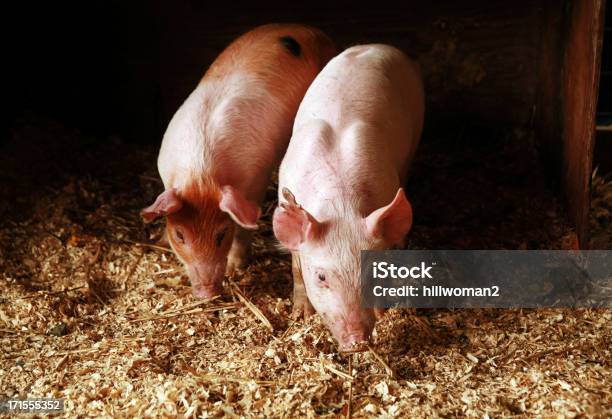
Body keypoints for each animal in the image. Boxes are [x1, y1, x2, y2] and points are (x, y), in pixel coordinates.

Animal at [141, 24, 338, 298]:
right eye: (180, 235)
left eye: (222, 234)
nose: (207, 293)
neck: (201, 174)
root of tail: (311, 29)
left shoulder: (257, 177)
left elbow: (246, 224)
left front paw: (236, 266)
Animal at [274, 44, 426, 352]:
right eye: (322, 277)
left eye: (372, 274)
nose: (356, 341)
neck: (340, 206)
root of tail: (379, 46)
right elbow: (296, 268)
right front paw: (300, 315)